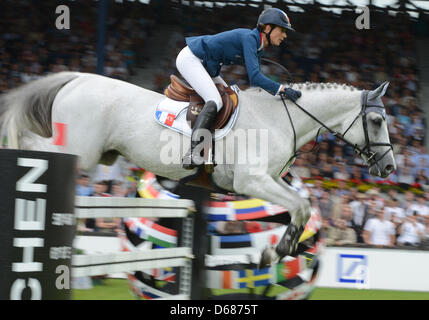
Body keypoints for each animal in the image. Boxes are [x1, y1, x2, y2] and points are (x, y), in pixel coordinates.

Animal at [0, 72, 394, 264]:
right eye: (376, 121)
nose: (389, 167)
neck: (281, 118)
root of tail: (77, 80)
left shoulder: (268, 181)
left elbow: (302, 207)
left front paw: (284, 249)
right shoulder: (252, 181)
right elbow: (300, 205)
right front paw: (274, 252)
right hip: (78, 150)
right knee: (34, 148)